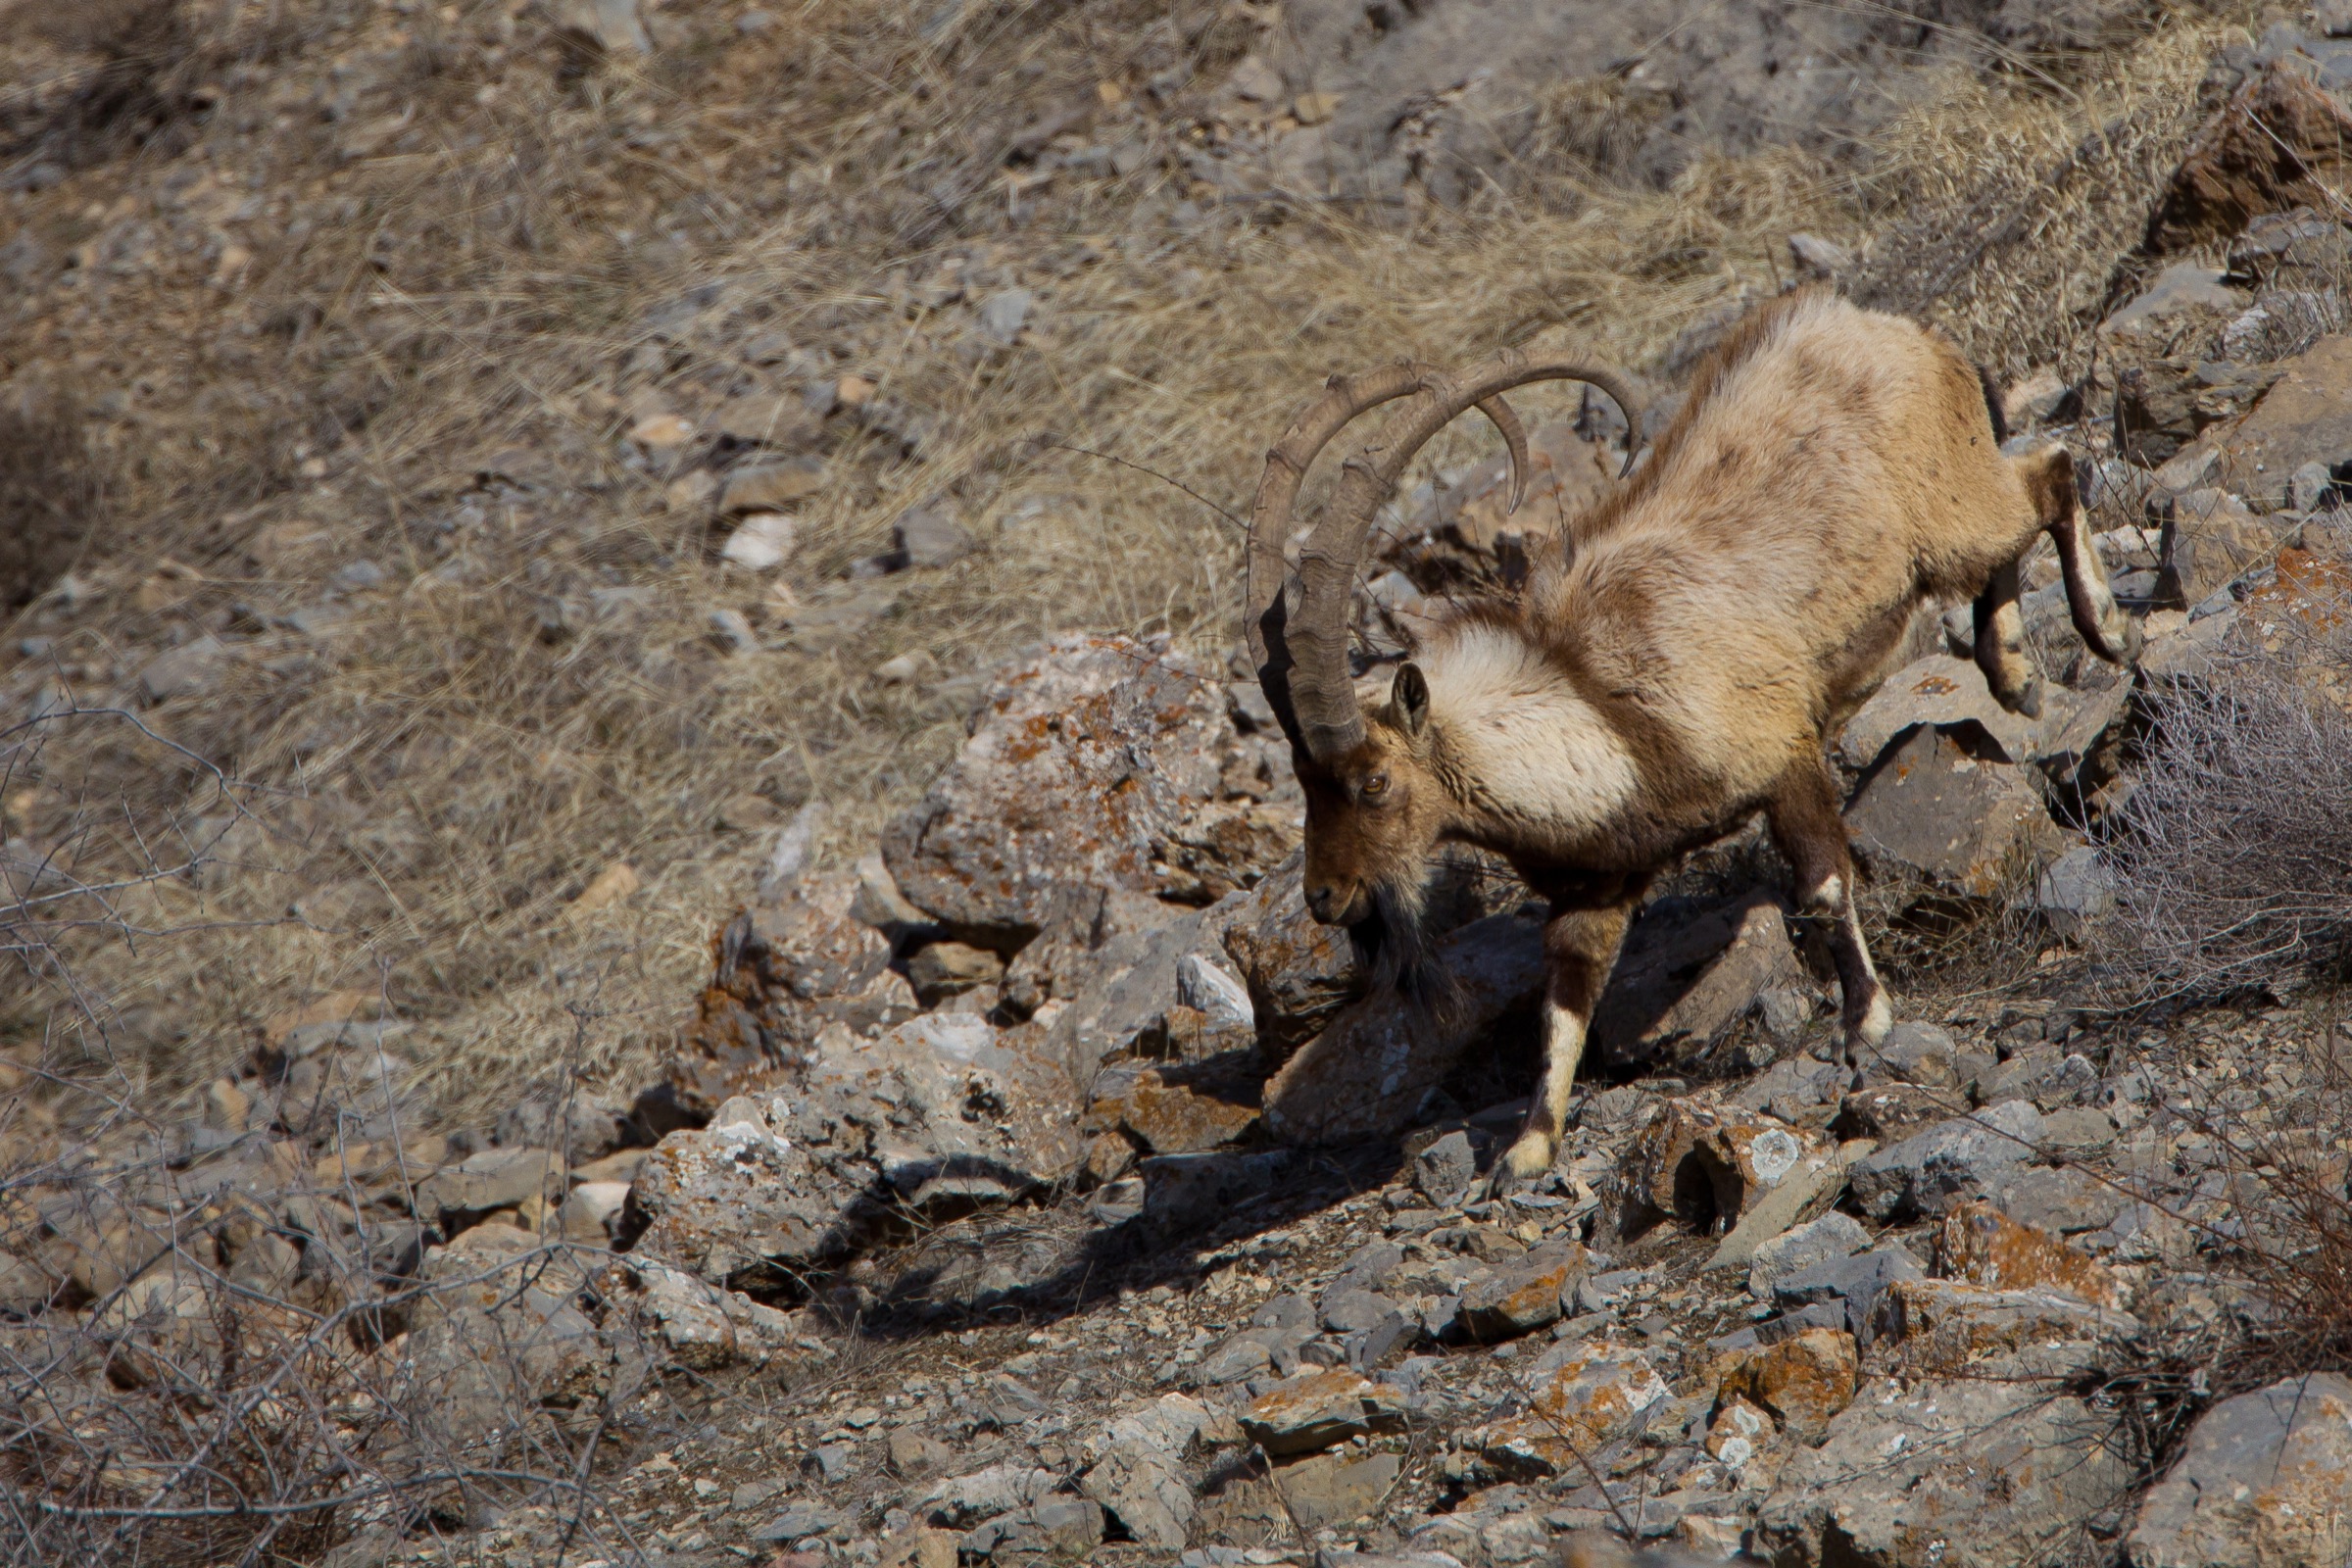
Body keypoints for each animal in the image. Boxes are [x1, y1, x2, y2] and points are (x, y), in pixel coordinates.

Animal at [1243, 286, 2133, 1191]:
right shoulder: (1597, 884)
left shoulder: (1782, 753)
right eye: (1304, 783)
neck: (1603, 718)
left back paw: (2102, 628)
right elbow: (1565, 994)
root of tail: (1887, 328)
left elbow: (1821, 884)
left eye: (1374, 782)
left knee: (2050, 474)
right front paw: (1530, 1147)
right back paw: (2015, 673)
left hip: (1950, 508)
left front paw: (1868, 1023)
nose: (1325, 898)